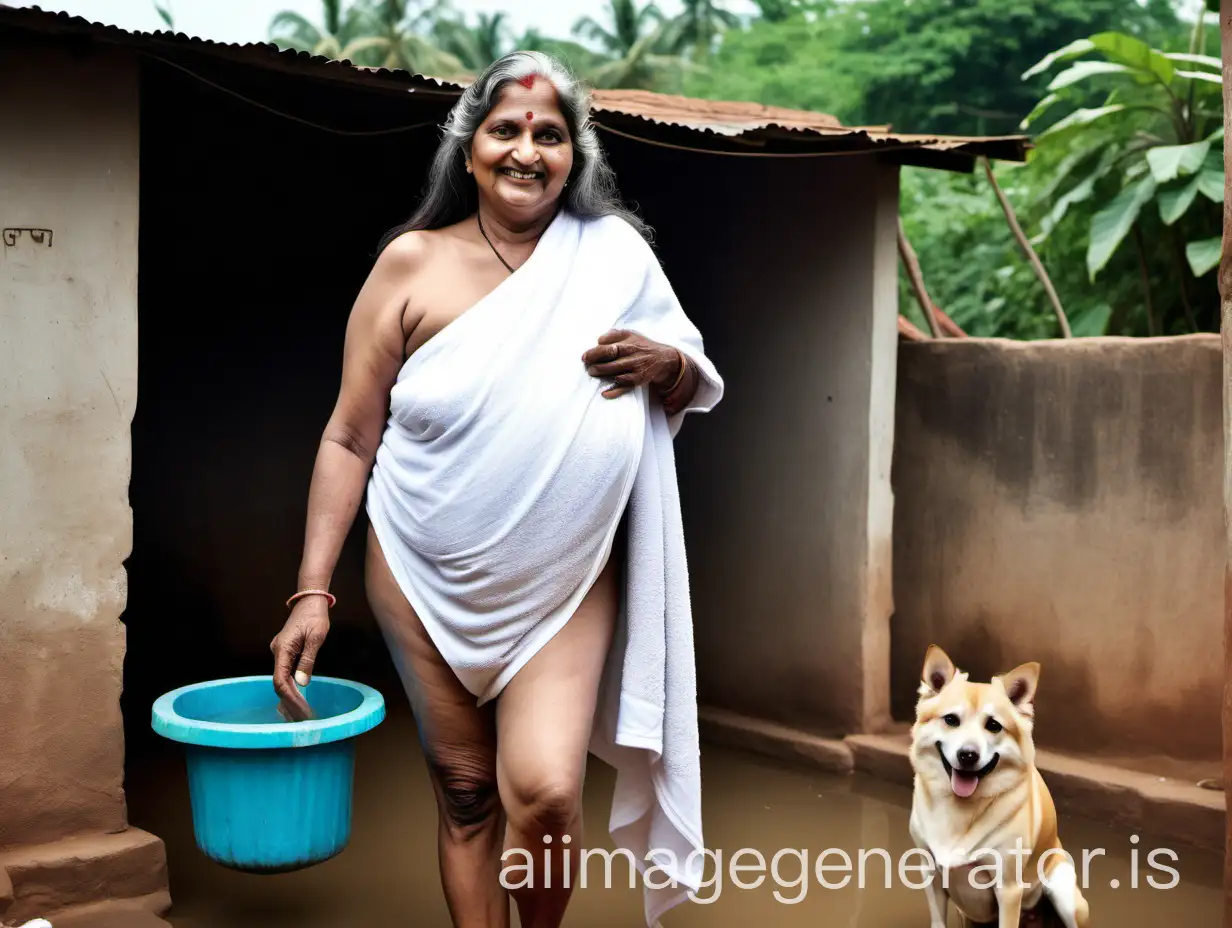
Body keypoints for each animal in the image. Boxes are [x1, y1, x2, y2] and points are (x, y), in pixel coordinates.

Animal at [906, 645, 1089, 926]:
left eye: (993, 725)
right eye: (951, 720)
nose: (968, 755)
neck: (959, 808)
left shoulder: (1008, 889)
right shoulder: (931, 875)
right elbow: (938, 919)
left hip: (1063, 892)